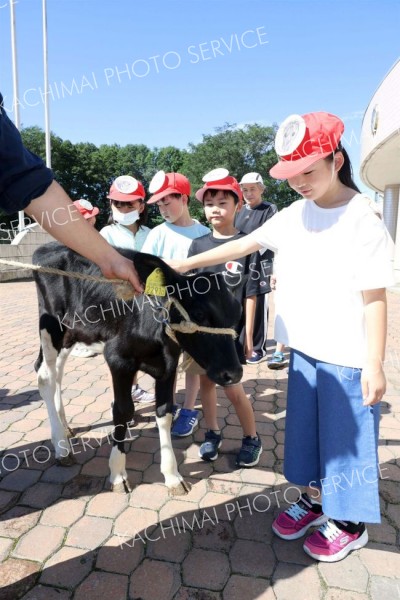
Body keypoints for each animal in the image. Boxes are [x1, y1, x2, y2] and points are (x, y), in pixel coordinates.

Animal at [32, 241, 241, 494]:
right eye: (199, 313)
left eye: (238, 314)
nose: (234, 373)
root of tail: (48, 245)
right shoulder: (117, 358)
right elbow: (123, 411)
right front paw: (117, 474)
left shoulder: (168, 364)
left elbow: (164, 412)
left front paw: (172, 476)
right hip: (50, 325)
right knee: (45, 375)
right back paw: (61, 446)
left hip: (72, 332)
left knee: (57, 374)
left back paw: (65, 428)